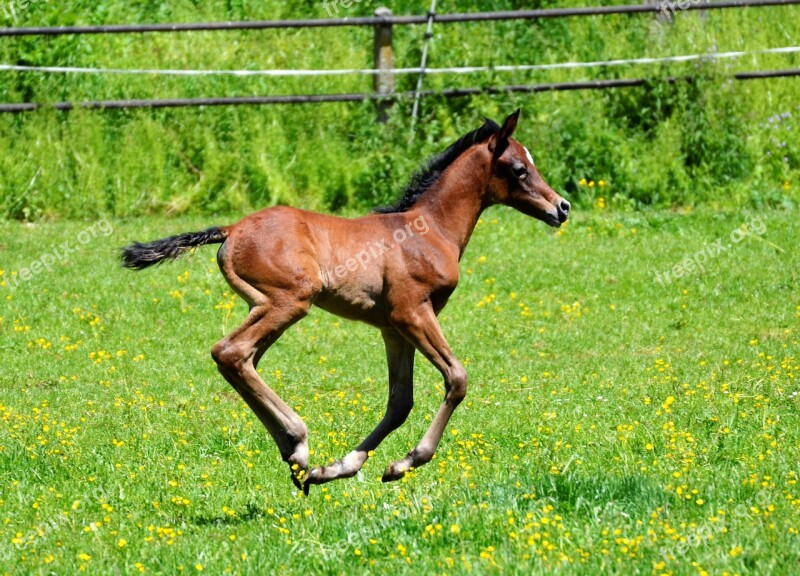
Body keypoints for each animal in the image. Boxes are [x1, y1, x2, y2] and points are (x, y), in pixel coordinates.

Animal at [122, 110, 568, 492]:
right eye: (519, 168)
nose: (561, 207)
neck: (429, 229)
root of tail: (232, 228)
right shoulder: (413, 313)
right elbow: (456, 379)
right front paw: (404, 463)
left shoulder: (394, 329)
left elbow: (400, 402)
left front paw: (339, 468)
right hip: (290, 302)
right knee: (230, 352)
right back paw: (299, 442)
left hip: (265, 307)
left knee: (242, 360)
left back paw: (296, 458)